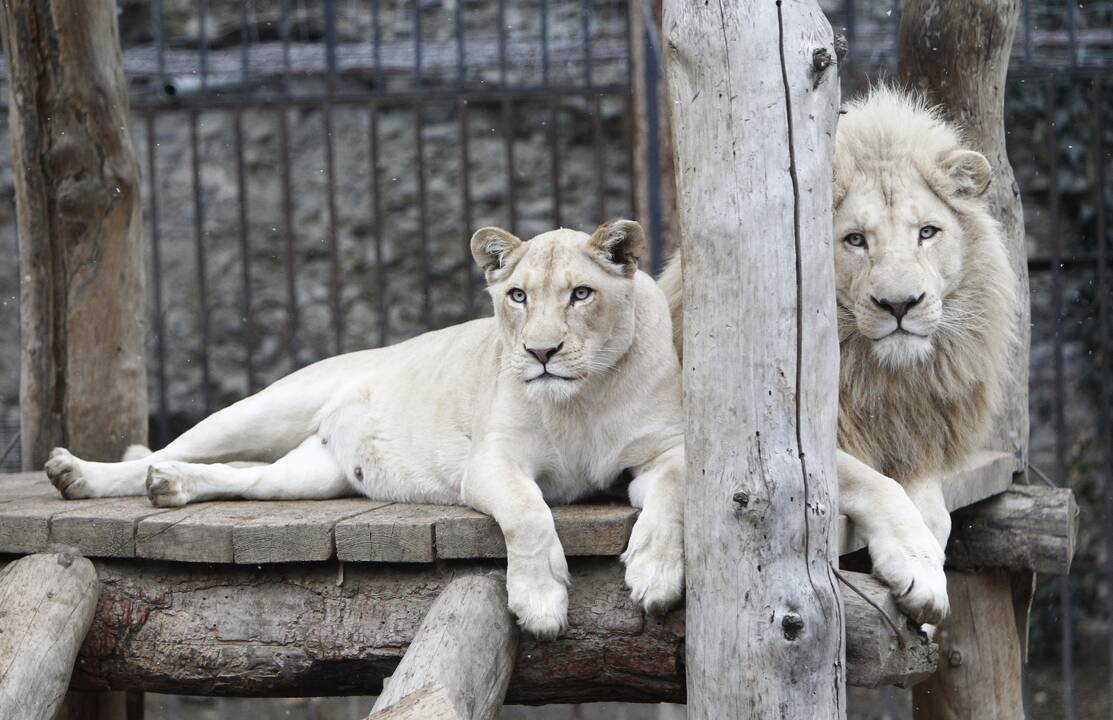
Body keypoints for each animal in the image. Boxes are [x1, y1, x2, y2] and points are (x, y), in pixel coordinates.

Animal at [47, 219, 685, 636]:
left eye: (582, 294)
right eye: (518, 296)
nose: (541, 352)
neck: (582, 399)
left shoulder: (664, 451)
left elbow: (673, 497)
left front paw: (654, 576)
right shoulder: (493, 461)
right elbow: (529, 515)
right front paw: (541, 603)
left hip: (310, 477)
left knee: (244, 479)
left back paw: (170, 485)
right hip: (263, 408)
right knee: (164, 450)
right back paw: (79, 475)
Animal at [658, 87, 1019, 623]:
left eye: (927, 232)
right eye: (855, 240)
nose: (899, 304)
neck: (880, 374)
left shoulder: (917, 438)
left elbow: (934, 508)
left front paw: (928, 556)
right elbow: (880, 486)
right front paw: (919, 571)